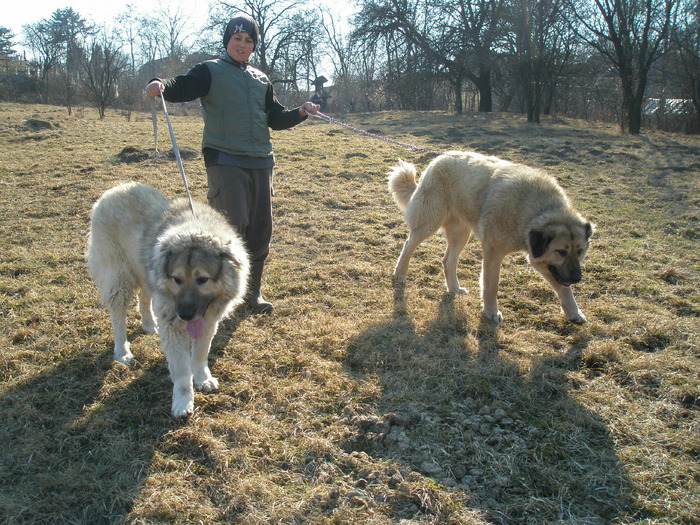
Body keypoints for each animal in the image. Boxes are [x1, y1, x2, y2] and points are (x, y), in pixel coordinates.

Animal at [388, 151, 596, 324]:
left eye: (580, 251)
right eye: (560, 251)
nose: (577, 278)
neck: (537, 210)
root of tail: (442, 157)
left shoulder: (541, 259)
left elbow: (564, 289)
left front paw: (574, 313)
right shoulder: (493, 253)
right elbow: (491, 285)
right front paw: (491, 313)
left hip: (460, 234)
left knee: (448, 260)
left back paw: (454, 289)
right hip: (429, 222)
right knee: (408, 244)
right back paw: (400, 274)